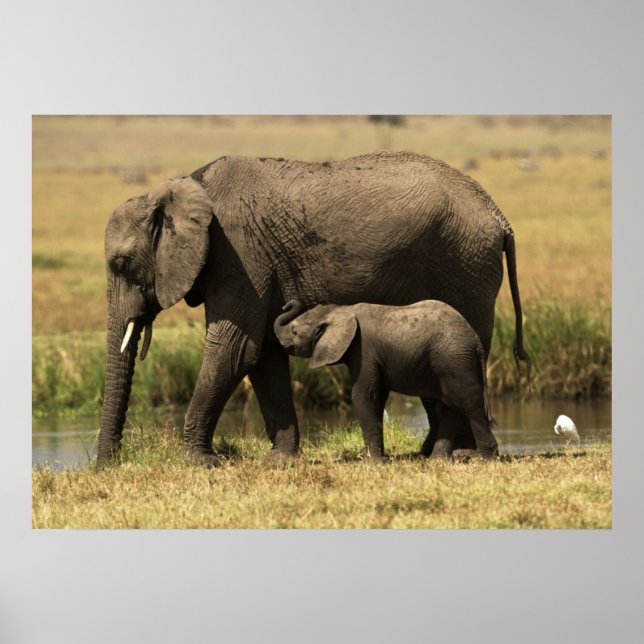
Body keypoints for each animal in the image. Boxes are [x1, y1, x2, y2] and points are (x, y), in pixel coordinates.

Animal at [274, 300, 498, 460]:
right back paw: (438, 460)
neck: (341, 310)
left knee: (469, 404)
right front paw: (380, 458)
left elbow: (363, 394)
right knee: (448, 406)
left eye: (294, 331)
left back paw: (484, 458)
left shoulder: (363, 348)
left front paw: (373, 462)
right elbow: (378, 396)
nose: (286, 304)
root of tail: (475, 340)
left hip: (454, 360)